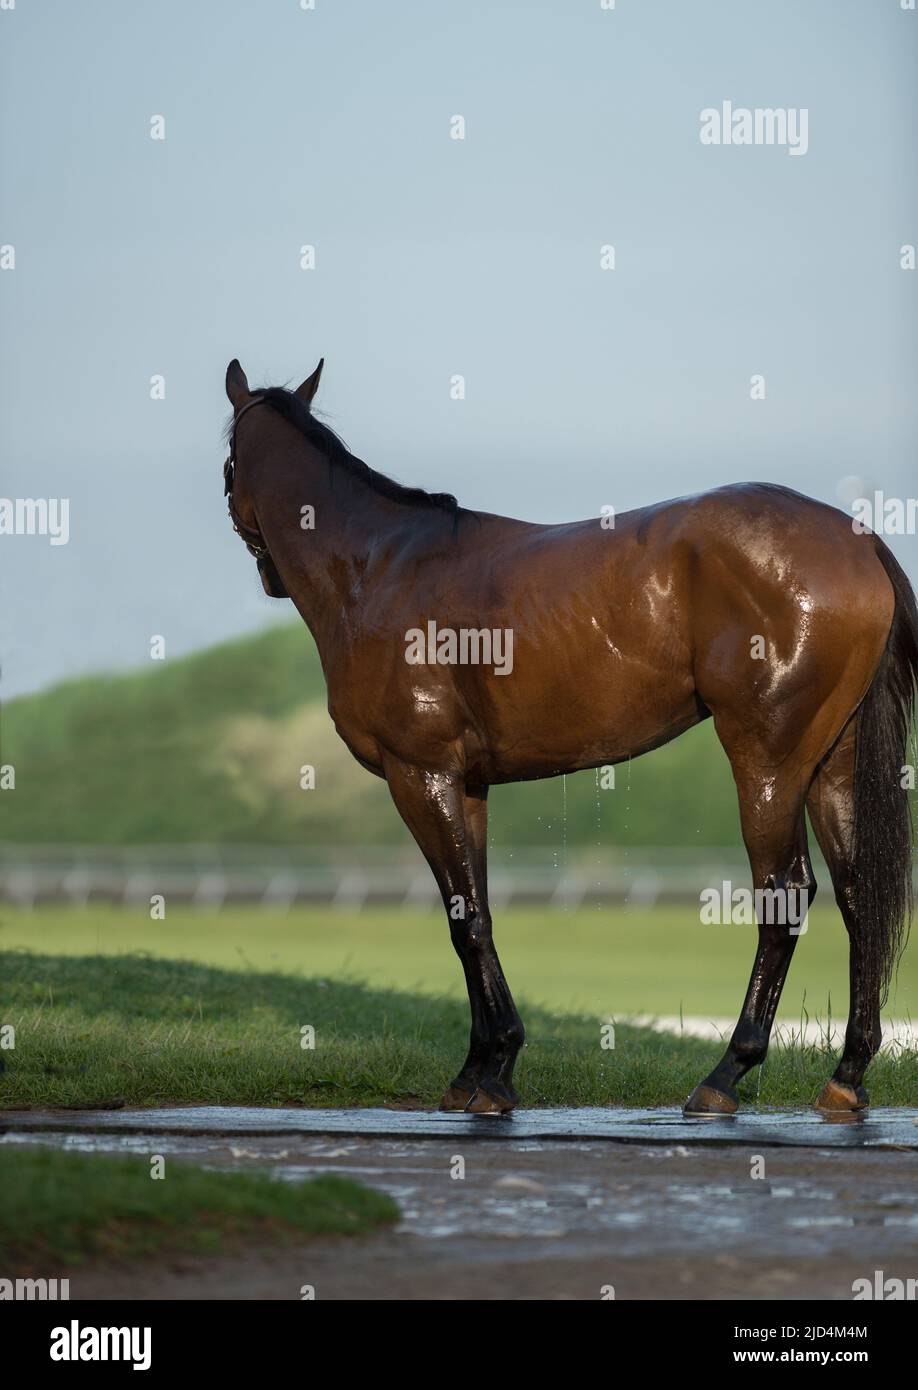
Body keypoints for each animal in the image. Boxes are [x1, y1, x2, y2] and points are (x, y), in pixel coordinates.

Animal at [223, 358, 918, 1117]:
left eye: (229, 460)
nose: (265, 575)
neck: (377, 571)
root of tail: (854, 539)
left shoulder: (420, 773)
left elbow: (464, 919)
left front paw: (495, 1070)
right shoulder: (466, 785)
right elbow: (477, 909)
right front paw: (481, 1068)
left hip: (767, 760)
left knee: (784, 893)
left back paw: (725, 1073)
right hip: (832, 763)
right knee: (859, 895)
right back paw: (846, 1075)